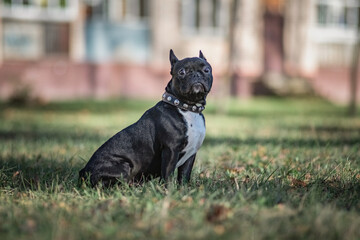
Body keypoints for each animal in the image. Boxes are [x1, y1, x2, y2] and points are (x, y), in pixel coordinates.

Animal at [79, 49, 211, 187]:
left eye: (207, 70)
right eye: (182, 72)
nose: (196, 75)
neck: (187, 108)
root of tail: (83, 172)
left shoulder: (190, 155)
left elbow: (184, 176)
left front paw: (183, 190)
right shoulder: (171, 150)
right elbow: (168, 175)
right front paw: (169, 190)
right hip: (123, 166)